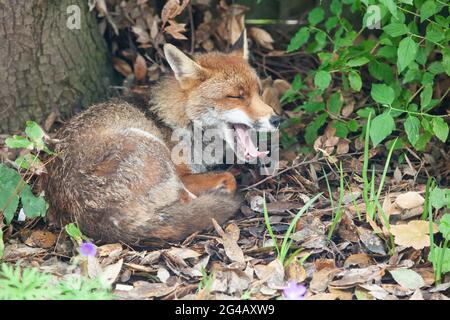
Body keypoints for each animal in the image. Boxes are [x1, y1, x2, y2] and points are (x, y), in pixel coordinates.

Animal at [43, 31, 282, 246]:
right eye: (236, 96)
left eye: (259, 92)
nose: (276, 119)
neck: (177, 119)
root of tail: (98, 223)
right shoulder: (182, 174)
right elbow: (228, 177)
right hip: (151, 147)